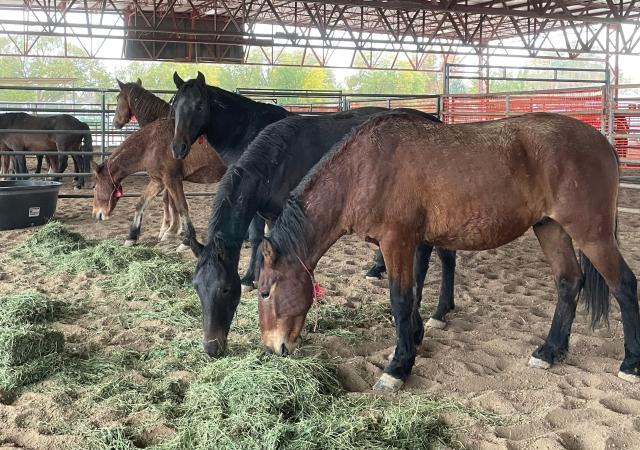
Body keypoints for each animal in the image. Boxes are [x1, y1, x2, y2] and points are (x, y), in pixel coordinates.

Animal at [91, 118, 226, 248]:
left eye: (94, 187)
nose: (96, 214)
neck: (151, 144)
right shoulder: (158, 181)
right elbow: (141, 204)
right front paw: (131, 237)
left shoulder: (172, 180)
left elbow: (182, 207)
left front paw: (187, 241)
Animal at [258, 112, 636, 390]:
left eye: (264, 291)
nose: (274, 348)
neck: (365, 168)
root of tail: (602, 143)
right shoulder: (412, 243)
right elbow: (413, 293)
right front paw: (413, 341)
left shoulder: (397, 242)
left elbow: (401, 299)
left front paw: (397, 368)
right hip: (550, 228)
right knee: (569, 282)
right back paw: (550, 351)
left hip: (592, 234)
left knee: (623, 285)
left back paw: (630, 363)